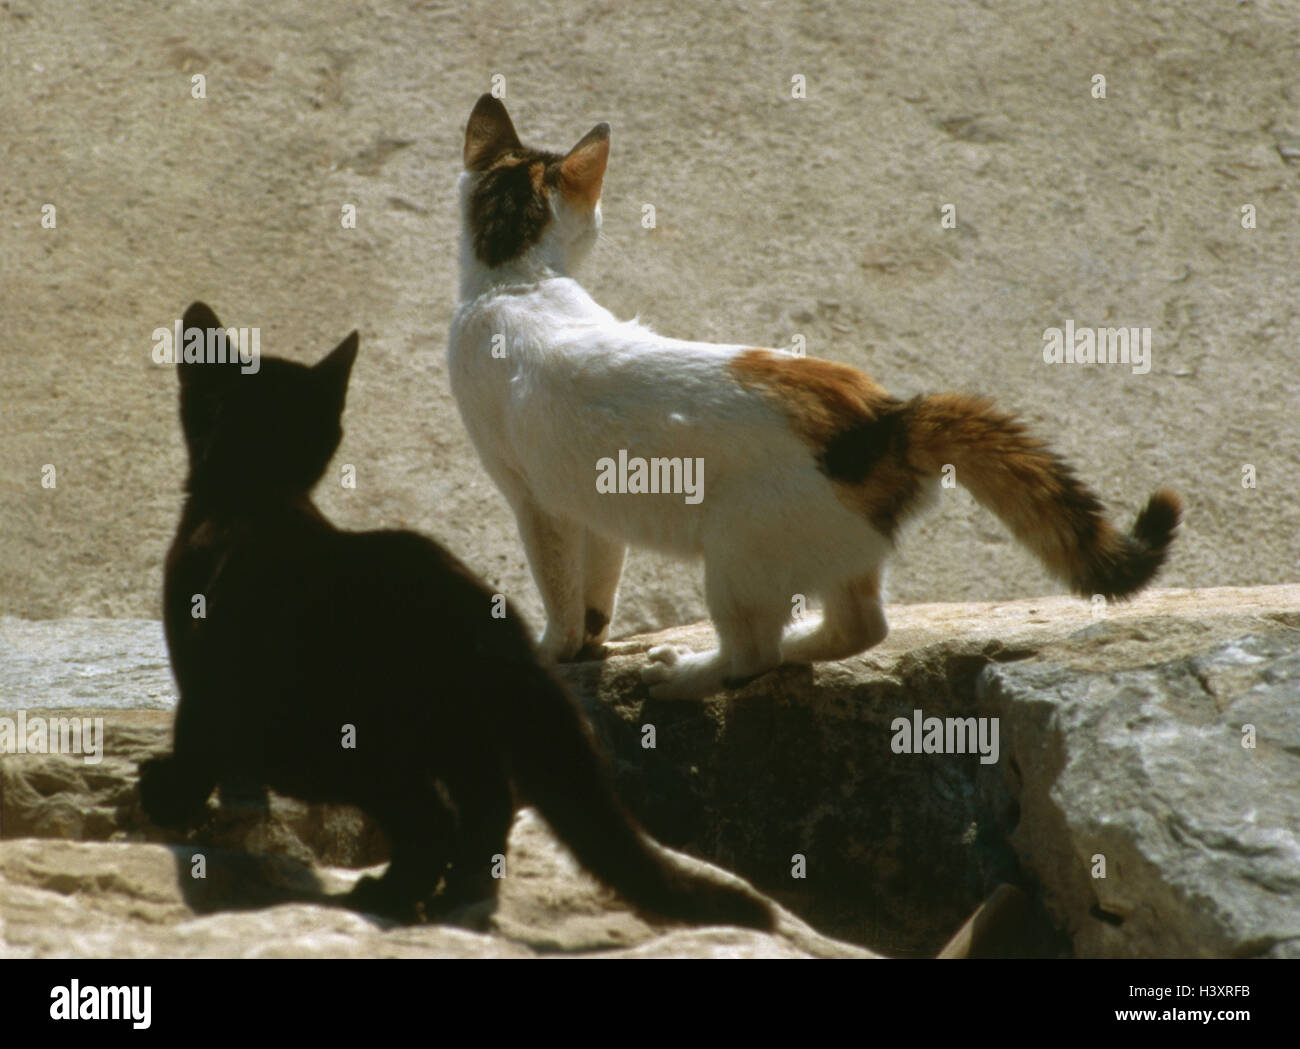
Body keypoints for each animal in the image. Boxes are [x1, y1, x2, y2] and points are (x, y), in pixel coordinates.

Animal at [139, 298, 769, 930]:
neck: (256, 494)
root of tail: (492, 625)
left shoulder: (204, 677)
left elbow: (194, 742)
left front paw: (167, 800)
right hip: (458, 738)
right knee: (487, 809)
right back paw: (455, 895)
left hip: (347, 741)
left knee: (430, 820)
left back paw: (388, 895)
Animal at [452, 98, 1185, 701]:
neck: (514, 282)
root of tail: (885, 420)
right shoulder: (590, 506)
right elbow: (597, 589)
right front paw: (592, 643)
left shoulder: (534, 501)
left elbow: (559, 591)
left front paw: (554, 651)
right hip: (832, 550)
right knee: (861, 628)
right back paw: (800, 644)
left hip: (736, 550)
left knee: (750, 651)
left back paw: (686, 673)